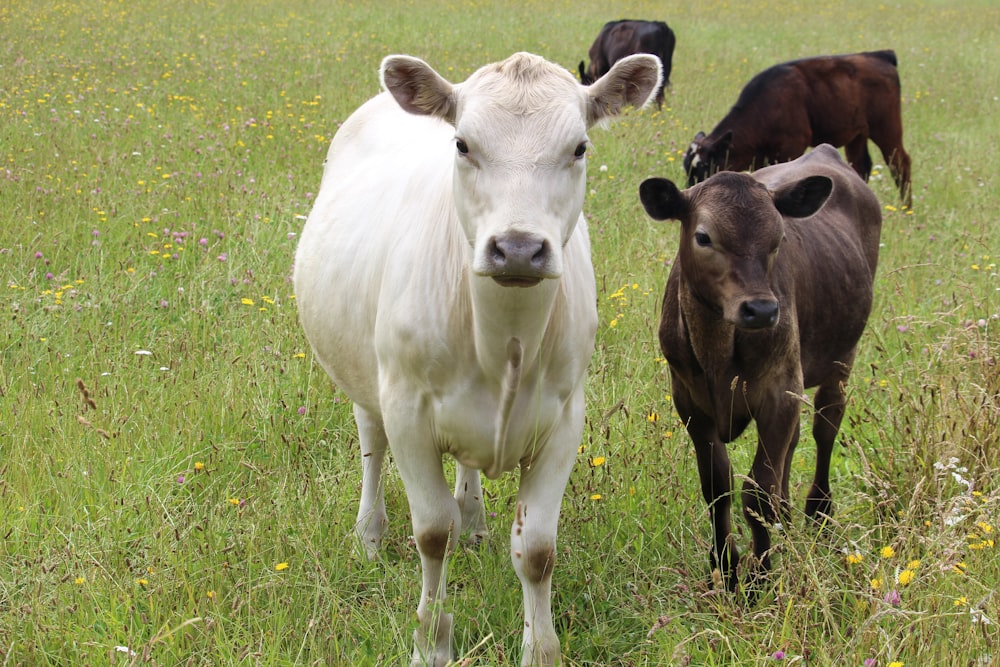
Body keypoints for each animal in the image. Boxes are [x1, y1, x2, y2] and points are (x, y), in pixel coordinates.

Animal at [292, 53, 660, 667]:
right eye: (463, 144)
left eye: (580, 147)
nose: (517, 249)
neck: (502, 342)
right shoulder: (408, 410)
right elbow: (431, 534)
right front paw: (429, 643)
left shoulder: (564, 419)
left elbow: (537, 550)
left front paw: (540, 650)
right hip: (364, 376)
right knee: (371, 447)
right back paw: (370, 534)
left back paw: (475, 521)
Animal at [640, 146, 884, 596]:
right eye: (704, 237)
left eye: (779, 239)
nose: (762, 309)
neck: (717, 350)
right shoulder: (689, 401)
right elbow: (717, 486)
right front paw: (724, 568)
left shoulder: (779, 391)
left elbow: (757, 491)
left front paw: (760, 577)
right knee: (796, 442)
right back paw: (787, 516)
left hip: (843, 355)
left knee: (825, 428)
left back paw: (817, 513)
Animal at [684, 51, 912, 207]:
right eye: (687, 168)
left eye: (705, 167)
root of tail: (879, 55)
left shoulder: (791, 147)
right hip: (857, 136)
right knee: (862, 166)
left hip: (887, 130)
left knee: (901, 163)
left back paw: (906, 208)